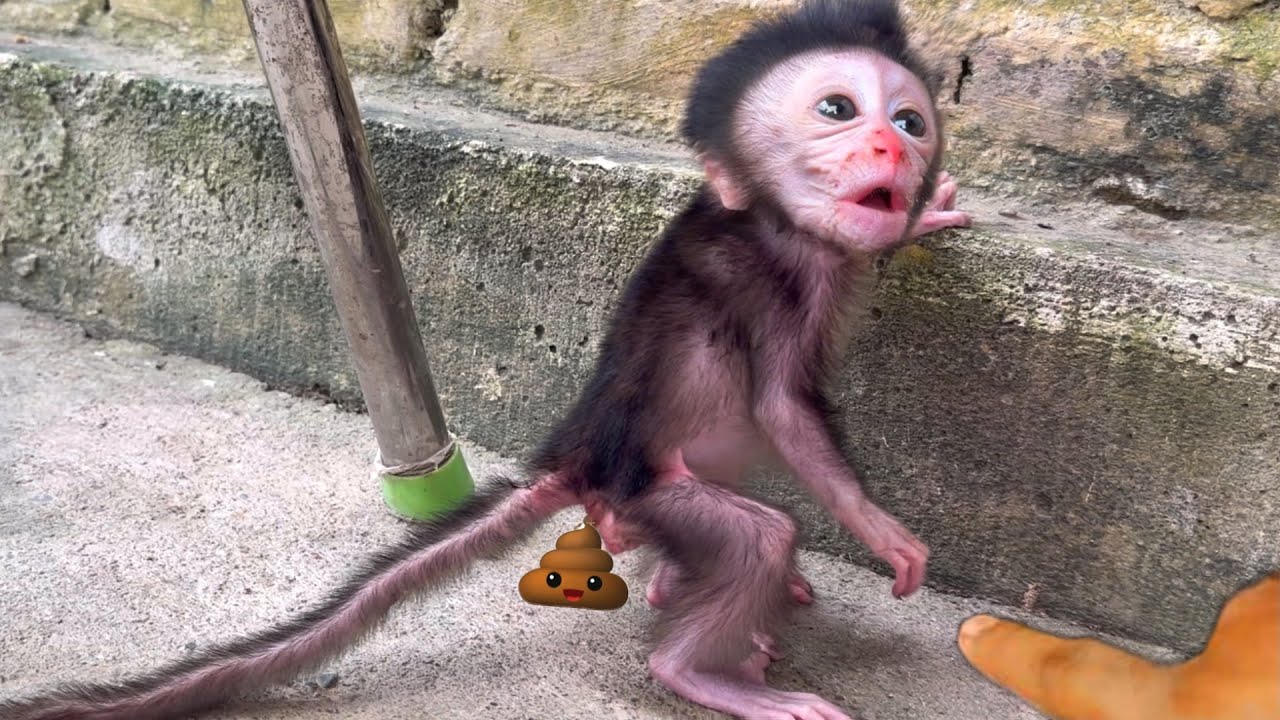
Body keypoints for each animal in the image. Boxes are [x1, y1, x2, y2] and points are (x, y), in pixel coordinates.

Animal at [0, 1, 971, 719]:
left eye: (910, 119)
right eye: (837, 110)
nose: (890, 147)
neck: (779, 226)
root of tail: (575, 452)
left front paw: (931, 210)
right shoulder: (766, 283)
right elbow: (782, 408)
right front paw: (883, 534)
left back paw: (679, 596)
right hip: (648, 484)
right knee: (758, 532)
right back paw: (698, 670)